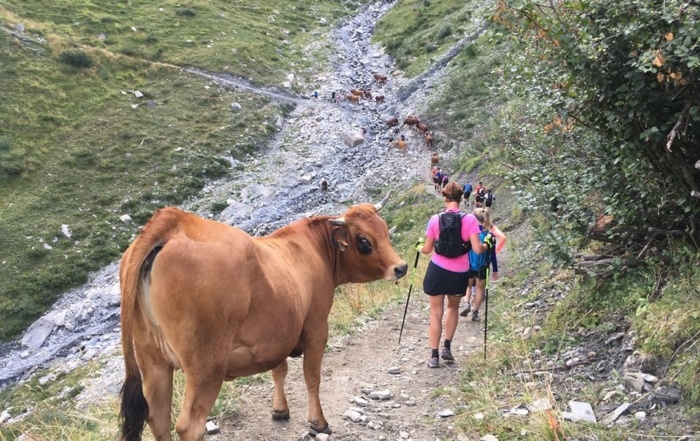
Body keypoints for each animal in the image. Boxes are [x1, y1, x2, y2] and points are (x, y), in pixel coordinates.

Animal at [117, 200, 408, 440]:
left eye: (384, 230)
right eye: (364, 241)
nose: (401, 267)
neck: (312, 249)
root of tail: (175, 221)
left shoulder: (276, 335)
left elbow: (279, 371)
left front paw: (280, 410)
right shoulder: (316, 329)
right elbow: (312, 377)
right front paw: (318, 422)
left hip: (153, 360)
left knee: (157, 418)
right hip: (205, 365)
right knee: (190, 425)